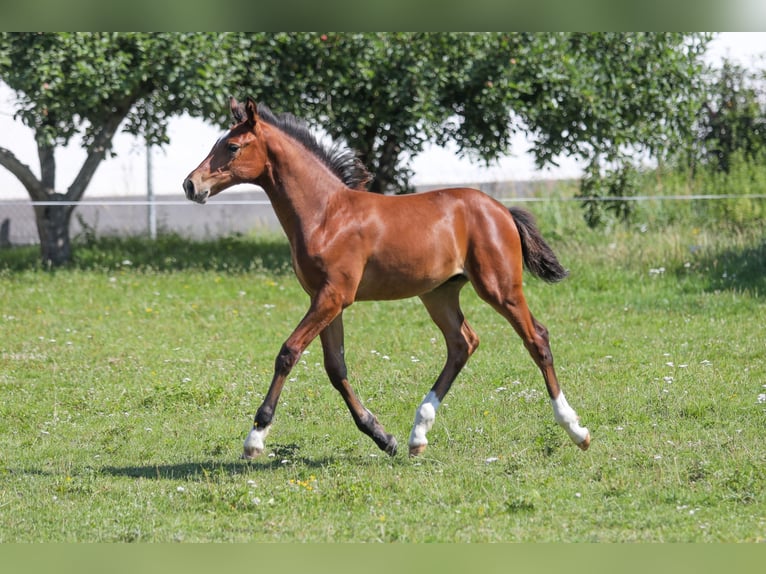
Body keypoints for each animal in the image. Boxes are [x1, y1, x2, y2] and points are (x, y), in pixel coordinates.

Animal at [183, 98, 592, 460]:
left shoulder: (333, 296)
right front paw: (383, 437)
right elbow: (336, 368)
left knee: (536, 339)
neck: (326, 214)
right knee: (462, 344)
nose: (190, 185)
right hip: (439, 294)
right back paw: (417, 434)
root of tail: (501, 210)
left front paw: (255, 438)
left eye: (232, 146)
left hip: (499, 287)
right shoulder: (325, 298)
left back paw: (576, 430)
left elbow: (288, 353)